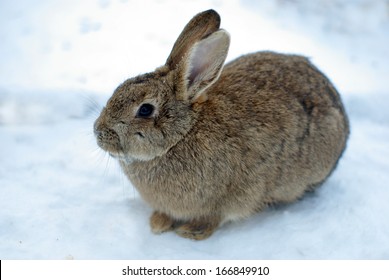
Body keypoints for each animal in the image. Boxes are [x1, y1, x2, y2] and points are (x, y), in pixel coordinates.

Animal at [93, 9, 348, 240]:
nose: (98, 133)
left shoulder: (236, 194)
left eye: (145, 109)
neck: (184, 132)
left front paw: (191, 232)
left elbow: (215, 217)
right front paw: (159, 223)